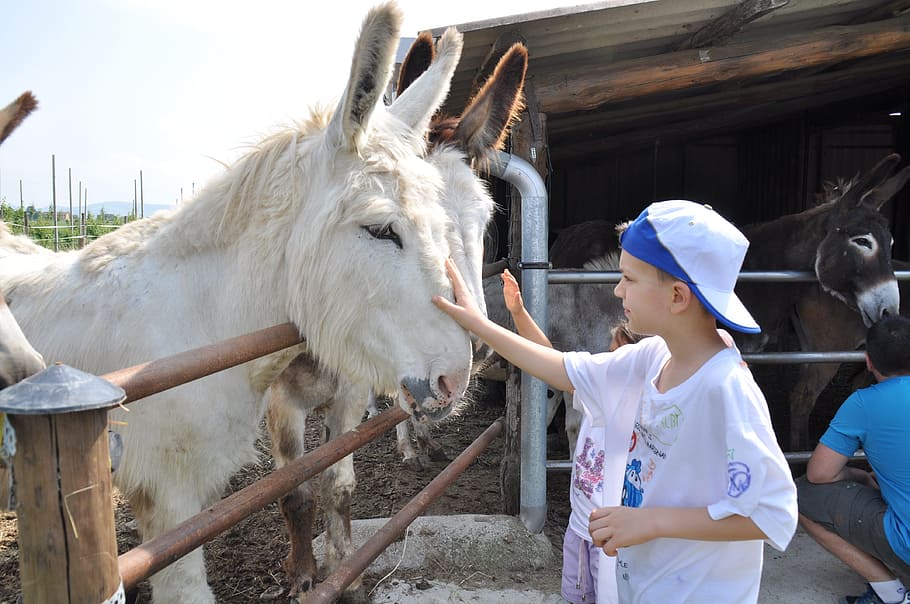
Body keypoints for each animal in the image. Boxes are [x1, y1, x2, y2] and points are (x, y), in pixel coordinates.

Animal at [255, 32, 528, 597]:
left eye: (486, 217)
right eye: (390, 228)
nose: (476, 346)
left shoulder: (354, 391)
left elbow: (337, 484)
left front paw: (345, 571)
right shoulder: (281, 401)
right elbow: (294, 492)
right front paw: (303, 575)